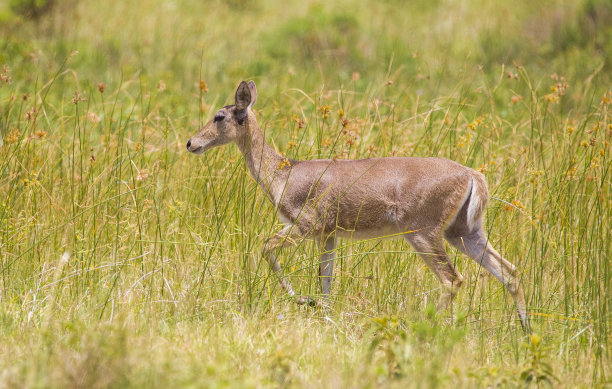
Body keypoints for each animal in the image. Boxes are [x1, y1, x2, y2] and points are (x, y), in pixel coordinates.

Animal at [186, 80, 532, 332]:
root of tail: (474, 175)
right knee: (510, 271)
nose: (191, 143)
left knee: (454, 279)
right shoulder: (329, 235)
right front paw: (319, 310)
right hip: (463, 232)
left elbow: (265, 247)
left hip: (423, 232)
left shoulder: (306, 225)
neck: (283, 173)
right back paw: (525, 331)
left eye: (219, 116)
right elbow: (326, 281)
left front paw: (303, 300)